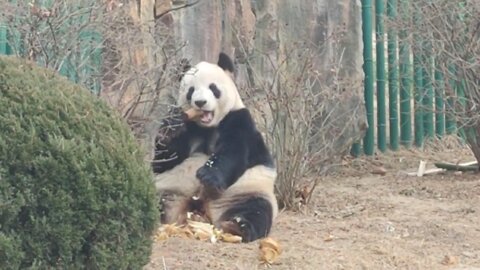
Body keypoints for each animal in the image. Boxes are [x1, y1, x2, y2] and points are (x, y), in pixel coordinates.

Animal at [152, 52, 276, 243]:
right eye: (191, 91)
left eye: (213, 88)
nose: (200, 102)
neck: (208, 126)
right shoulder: (189, 128)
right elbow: (163, 161)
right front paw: (170, 129)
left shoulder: (239, 120)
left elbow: (233, 153)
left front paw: (208, 175)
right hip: (170, 189)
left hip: (243, 192)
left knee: (255, 210)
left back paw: (237, 226)